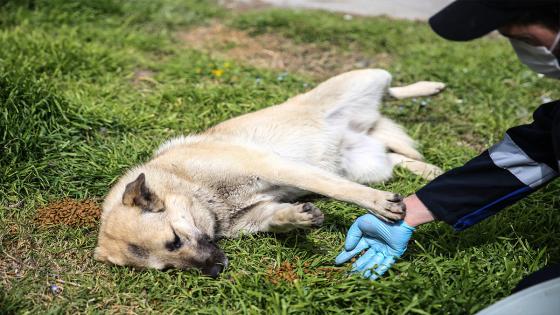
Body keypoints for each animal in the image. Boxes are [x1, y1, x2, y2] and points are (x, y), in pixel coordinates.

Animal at [94, 69, 444, 278]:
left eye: (175, 240)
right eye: (167, 266)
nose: (216, 269)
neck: (191, 187)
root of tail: (359, 131)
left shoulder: (277, 166)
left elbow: (334, 188)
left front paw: (377, 204)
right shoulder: (258, 212)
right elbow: (279, 218)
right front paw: (296, 217)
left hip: (369, 79)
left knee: (392, 90)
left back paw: (431, 87)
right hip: (370, 165)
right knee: (395, 156)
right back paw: (429, 169)